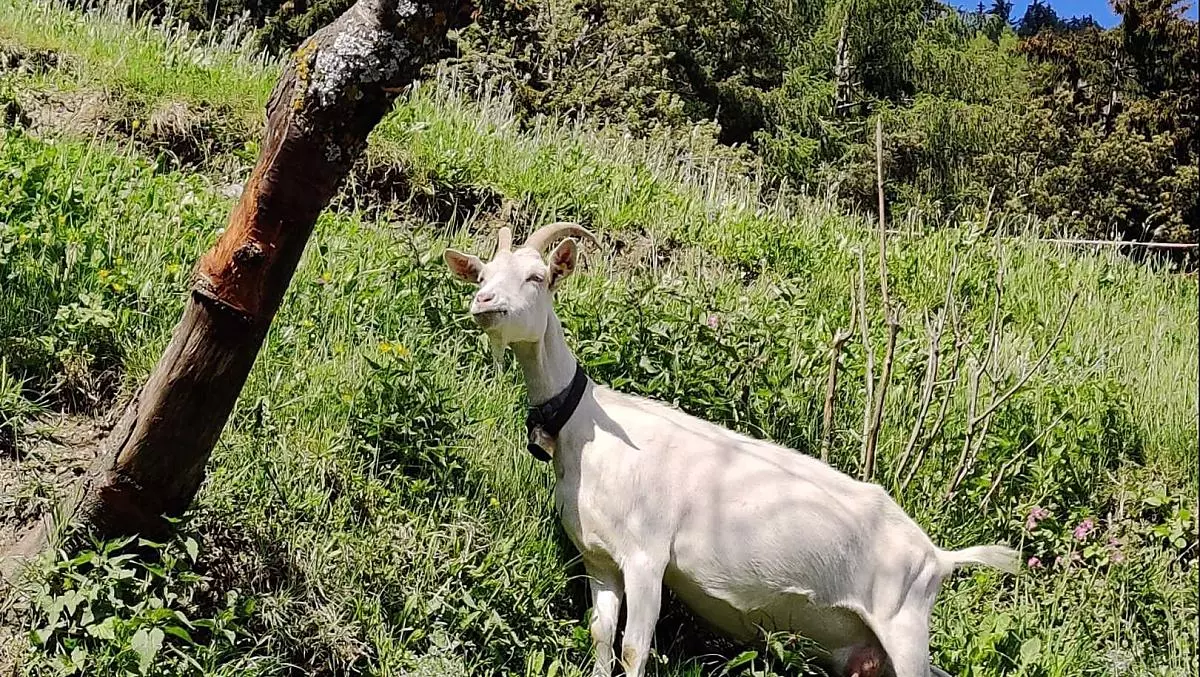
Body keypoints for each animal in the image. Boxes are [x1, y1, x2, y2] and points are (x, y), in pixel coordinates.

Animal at [443, 223, 1019, 677]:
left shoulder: (647, 557)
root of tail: (938, 557)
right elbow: (601, 639)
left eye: (536, 277)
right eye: (482, 274)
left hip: (904, 628)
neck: (590, 429)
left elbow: (634, 649)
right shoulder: (599, 558)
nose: (484, 304)